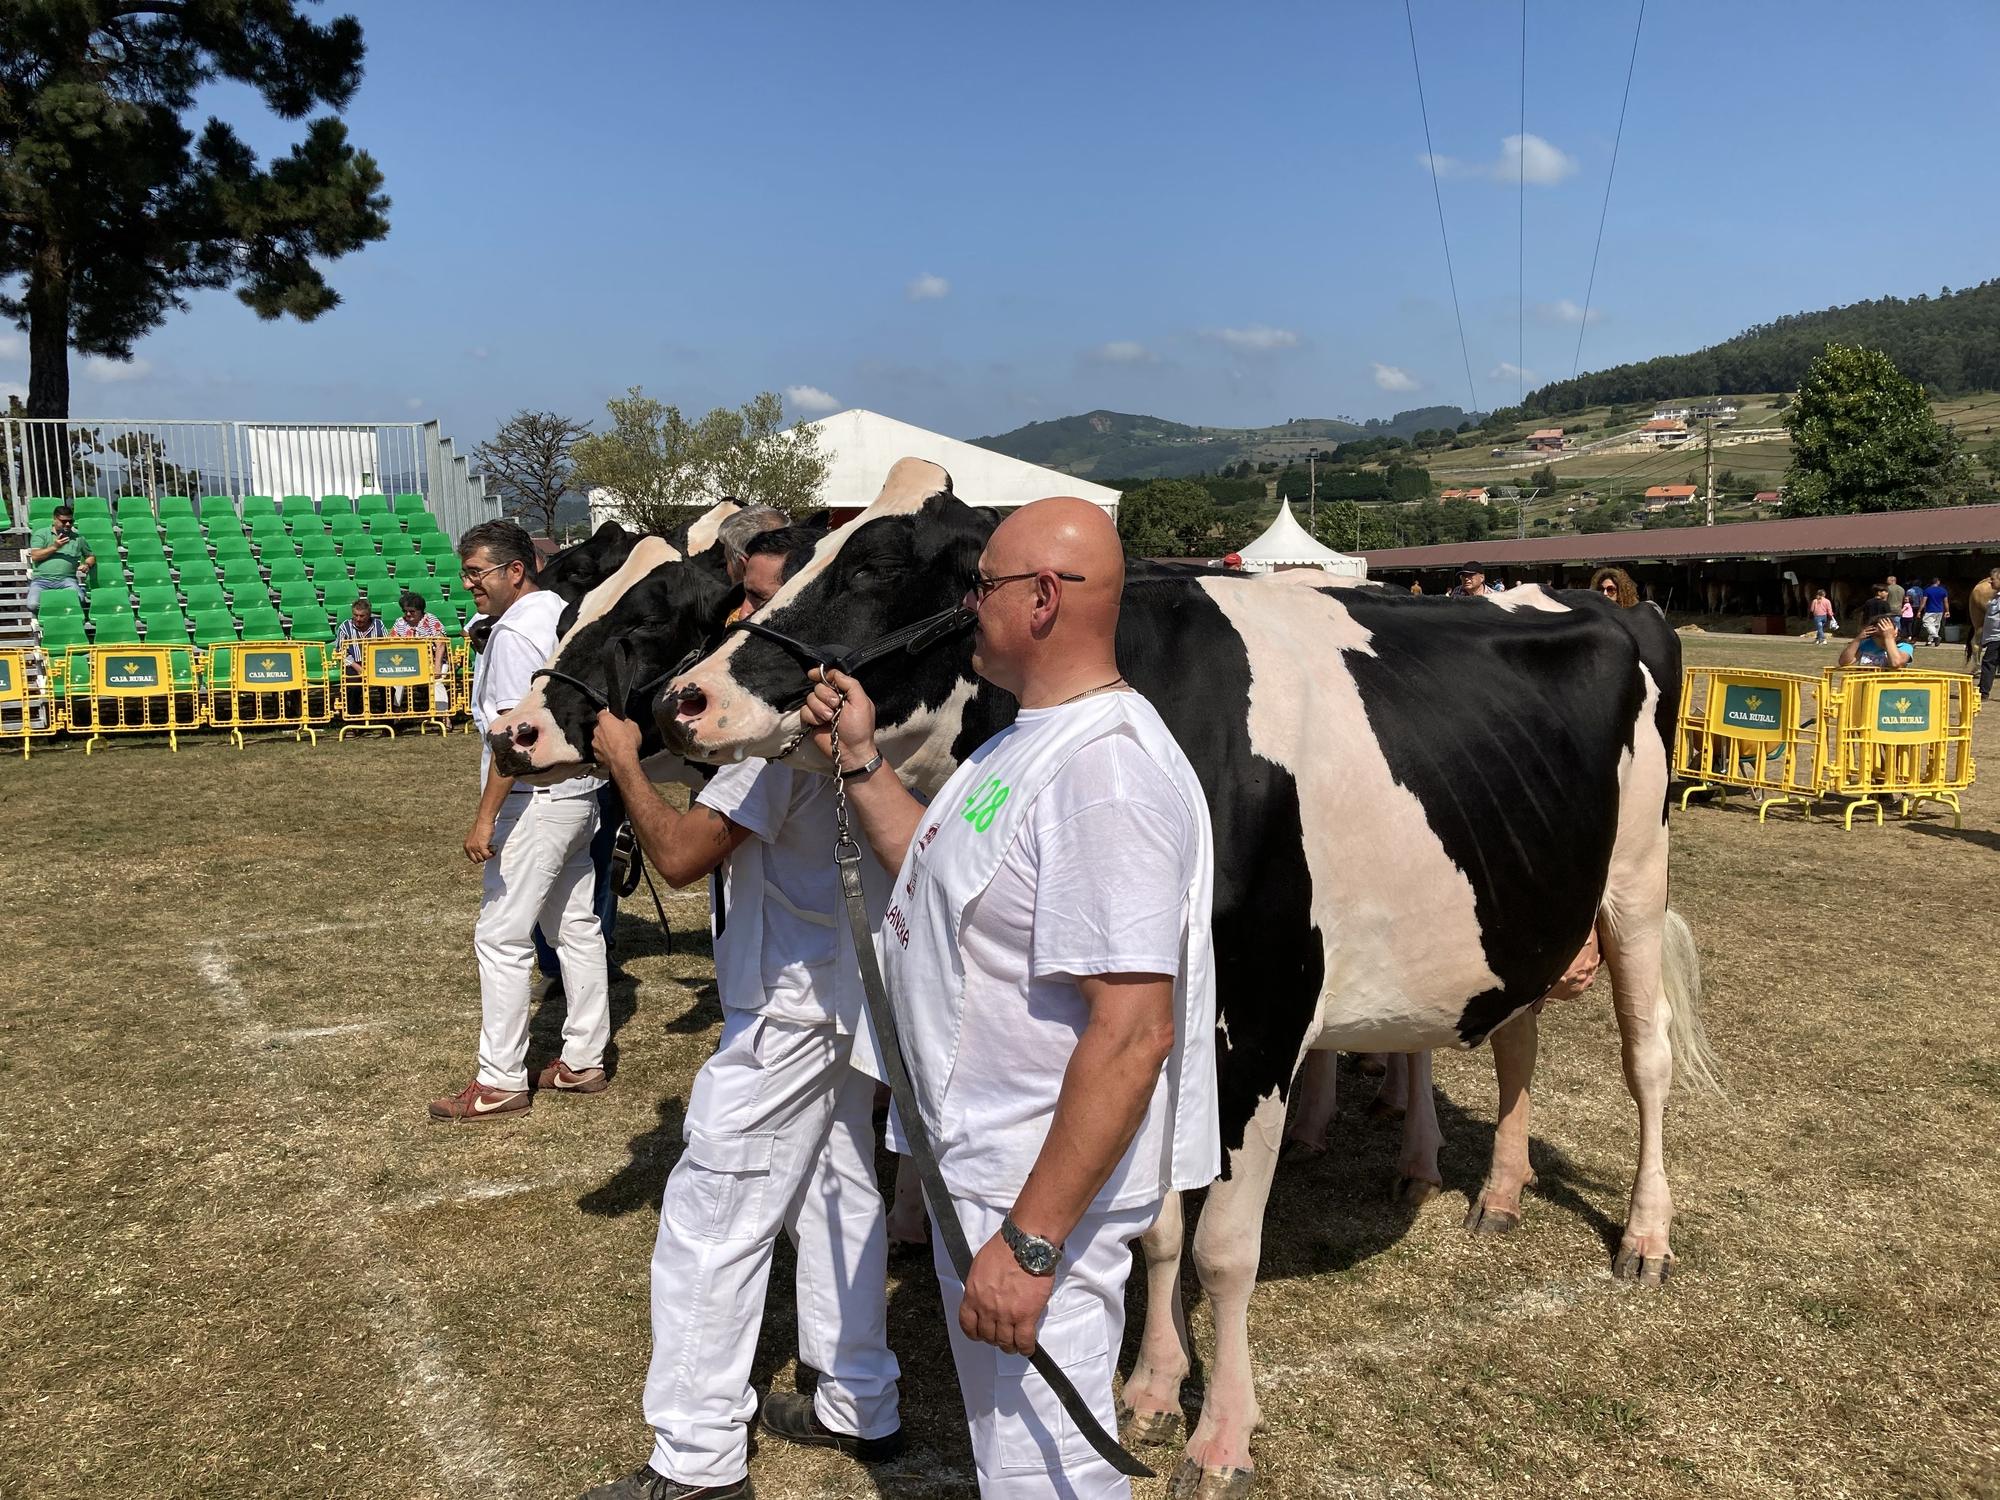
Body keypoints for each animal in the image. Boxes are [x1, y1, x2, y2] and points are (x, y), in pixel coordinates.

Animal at [660, 462, 1720, 1500]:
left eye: (876, 566)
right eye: (803, 547)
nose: (686, 698)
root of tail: (1595, 602)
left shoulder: (1264, 1016)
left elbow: (1223, 1250)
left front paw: (1222, 1437)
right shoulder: (1159, 1023)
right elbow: (1160, 1231)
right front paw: (1153, 1388)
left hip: (1635, 880)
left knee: (1648, 1061)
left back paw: (1645, 1237)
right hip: (1523, 905)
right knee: (1514, 1038)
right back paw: (1496, 1193)